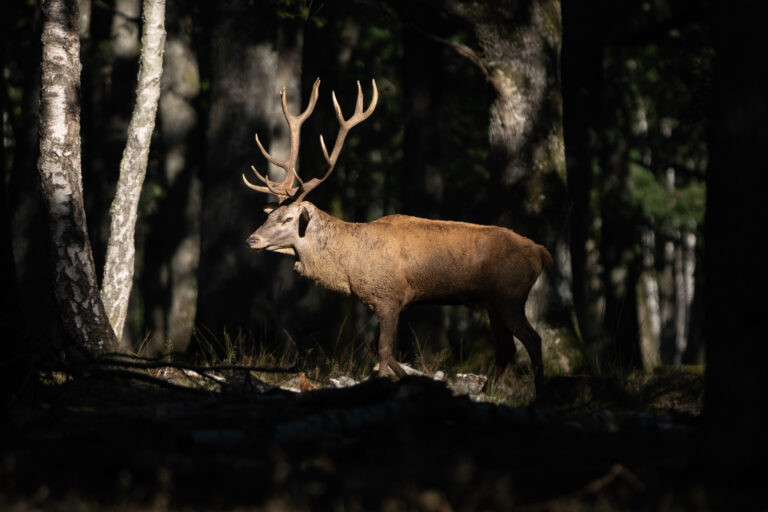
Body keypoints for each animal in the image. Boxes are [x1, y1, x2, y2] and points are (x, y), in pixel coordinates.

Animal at [243, 78, 553, 391]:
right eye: (268, 215)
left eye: (288, 218)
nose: (251, 239)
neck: (351, 267)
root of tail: (541, 252)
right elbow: (389, 354)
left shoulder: (389, 296)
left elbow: (383, 351)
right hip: (493, 302)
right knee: (507, 348)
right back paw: (488, 389)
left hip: (511, 296)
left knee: (533, 340)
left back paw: (539, 390)